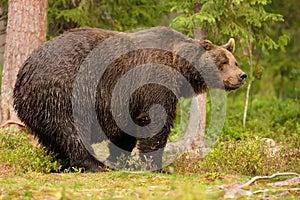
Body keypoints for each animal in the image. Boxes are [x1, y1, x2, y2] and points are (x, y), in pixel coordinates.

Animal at [12, 27, 246, 172]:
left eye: (234, 61)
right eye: (223, 61)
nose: (242, 75)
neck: (179, 68)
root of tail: (25, 69)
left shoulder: (129, 101)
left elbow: (126, 130)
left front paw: (120, 159)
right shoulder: (154, 80)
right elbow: (156, 122)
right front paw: (158, 166)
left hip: (41, 104)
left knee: (52, 136)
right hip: (66, 92)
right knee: (73, 131)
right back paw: (93, 165)